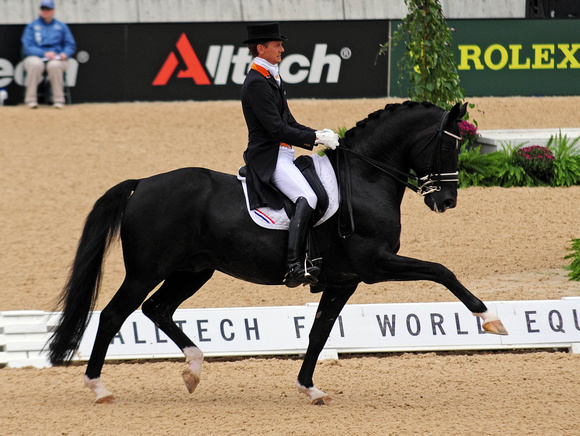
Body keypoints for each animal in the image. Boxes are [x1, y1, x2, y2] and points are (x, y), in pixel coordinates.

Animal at [49, 99, 506, 406]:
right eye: (447, 146)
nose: (446, 201)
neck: (365, 177)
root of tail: (142, 183)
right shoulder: (375, 264)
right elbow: (441, 270)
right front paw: (491, 319)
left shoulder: (344, 280)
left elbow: (320, 333)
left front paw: (311, 388)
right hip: (147, 270)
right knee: (114, 314)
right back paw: (99, 388)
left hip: (194, 270)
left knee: (156, 309)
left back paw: (193, 369)